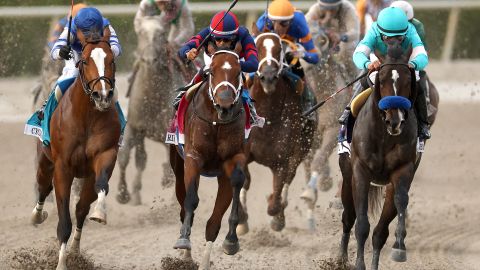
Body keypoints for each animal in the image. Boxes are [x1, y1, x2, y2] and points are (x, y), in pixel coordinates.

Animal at [30, 29, 120, 270]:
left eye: (111, 59)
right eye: (85, 60)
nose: (103, 95)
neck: (87, 116)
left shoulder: (105, 155)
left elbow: (100, 187)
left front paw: (100, 213)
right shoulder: (63, 167)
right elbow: (64, 220)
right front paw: (61, 263)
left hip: (85, 175)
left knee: (81, 208)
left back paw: (76, 250)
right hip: (45, 162)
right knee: (43, 187)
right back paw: (36, 216)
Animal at [170, 48, 248, 268]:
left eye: (238, 72)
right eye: (211, 71)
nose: (225, 105)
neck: (216, 122)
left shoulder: (234, 157)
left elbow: (237, 180)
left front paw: (231, 240)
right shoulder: (193, 157)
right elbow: (190, 200)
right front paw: (183, 240)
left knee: (213, 223)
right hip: (178, 167)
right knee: (183, 206)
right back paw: (186, 255)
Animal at [235, 32, 316, 234]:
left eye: (280, 49)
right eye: (257, 48)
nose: (268, 77)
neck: (267, 116)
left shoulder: (282, 159)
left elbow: (277, 193)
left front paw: (277, 214)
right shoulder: (243, 152)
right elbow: (244, 180)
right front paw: (241, 220)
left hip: (302, 148)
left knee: (289, 177)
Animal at [338, 44, 420, 270]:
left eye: (408, 80)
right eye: (381, 80)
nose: (395, 120)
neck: (384, 135)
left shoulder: (403, 170)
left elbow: (401, 201)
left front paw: (399, 246)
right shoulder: (360, 171)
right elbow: (361, 224)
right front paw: (358, 264)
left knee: (380, 231)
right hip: (347, 176)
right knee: (349, 217)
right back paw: (341, 259)